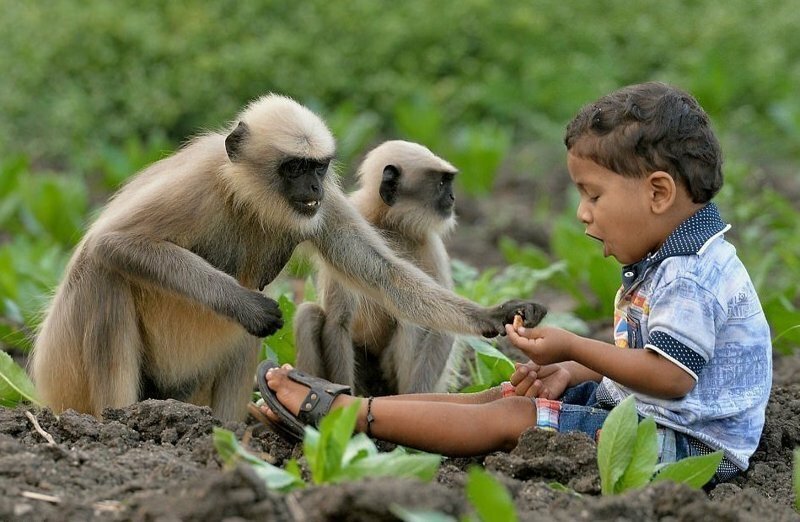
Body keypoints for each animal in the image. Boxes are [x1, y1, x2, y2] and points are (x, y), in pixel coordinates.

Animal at [28, 92, 548, 418]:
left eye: (317, 168)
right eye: (294, 168)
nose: (312, 187)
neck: (246, 196)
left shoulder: (325, 204)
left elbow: (380, 275)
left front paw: (495, 314)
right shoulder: (199, 181)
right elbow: (114, 242)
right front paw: (246, 303)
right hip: (67, 377)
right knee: (103, 269)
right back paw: (117, 422)